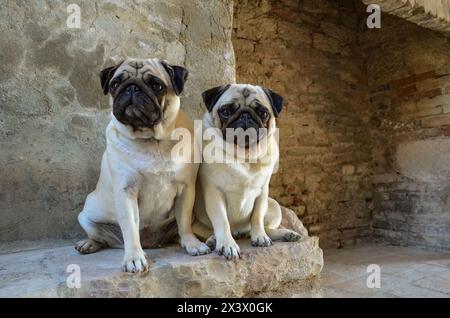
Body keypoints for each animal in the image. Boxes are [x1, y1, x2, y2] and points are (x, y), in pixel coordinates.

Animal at [76, 58, 210, 272]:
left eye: (157, 86)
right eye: (115, 84)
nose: (132, 88)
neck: (152, 141)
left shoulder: (186, 189)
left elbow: (184, 223)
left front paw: (192, 244)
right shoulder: (126, 191)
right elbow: (130, 227)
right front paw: (133, 257)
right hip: (86, 217)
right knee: (101, 237)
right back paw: (88, 243)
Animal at [192, 83, 300, 260]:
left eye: (263, 113)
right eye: (226, 111)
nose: (245, 115)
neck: (243, 155)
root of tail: (239, 232)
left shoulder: (262, 192)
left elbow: (257, 217)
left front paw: (260, 237)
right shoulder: (214, 192)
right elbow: (222, 220)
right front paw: (227, 244)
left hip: (274, 206)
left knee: (260, 227)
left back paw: (283, 234)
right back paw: (214, 240)